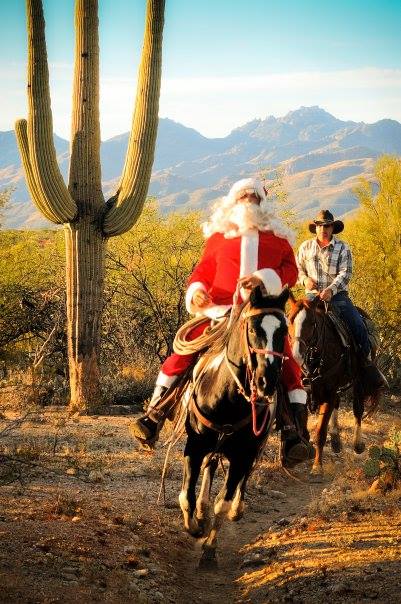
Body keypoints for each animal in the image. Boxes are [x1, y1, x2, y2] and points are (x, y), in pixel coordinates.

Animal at [180, 286, 290, 568]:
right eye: (252, 329)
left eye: (284, 330)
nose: (266, 382)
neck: (226, 398)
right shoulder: (195, 445)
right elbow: (186, 496)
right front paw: (195, 526)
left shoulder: (243, 455)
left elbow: (223, 502)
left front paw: (209, 548)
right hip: (213, 447)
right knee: (209, 470)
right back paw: (201, 511)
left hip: (253, 449)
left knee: (243, 479)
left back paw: (236, 509)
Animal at [288, 294, 382, 478]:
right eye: (289, 320)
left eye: (312, 323)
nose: (296, 356)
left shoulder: (329, 393)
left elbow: (320, 432)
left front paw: (317, 467)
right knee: (338, 405)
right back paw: (336, 440)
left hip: (358, 382)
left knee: (357, 410)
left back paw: (357, 444)